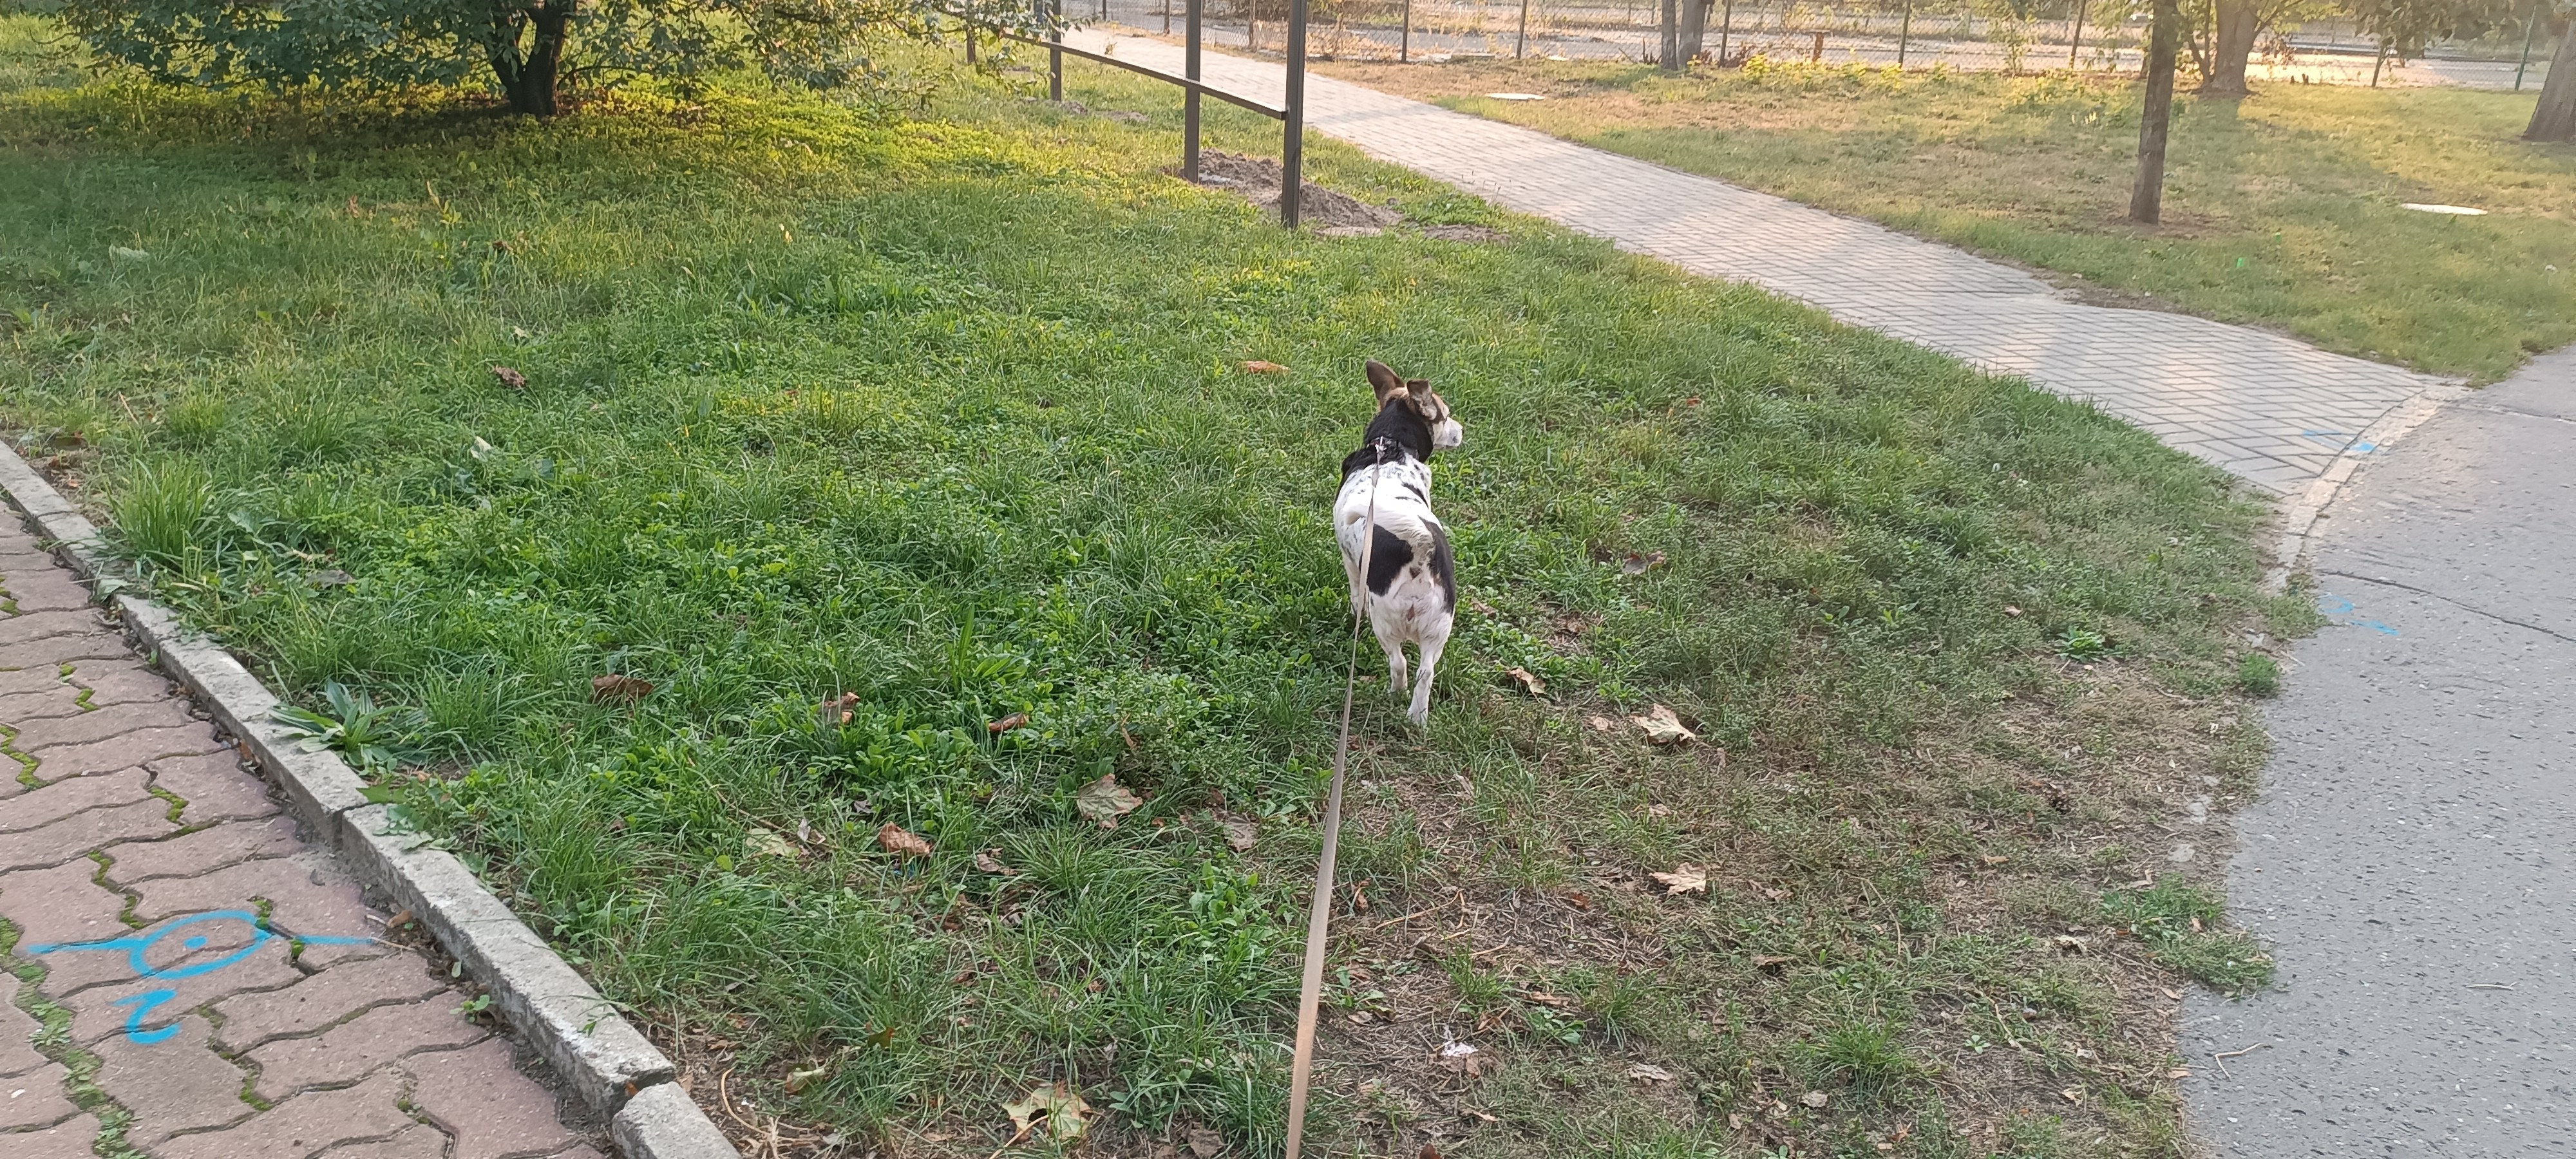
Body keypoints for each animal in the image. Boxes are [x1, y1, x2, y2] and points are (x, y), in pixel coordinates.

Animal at [1336, 360, 1464, 727]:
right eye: (1446, 416)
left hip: (1386, 625)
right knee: (1425, 673)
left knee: (1399, 663)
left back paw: (1395, 695)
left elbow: (1355, 597)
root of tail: (1420, 549)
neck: (1390, 447)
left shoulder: (1352, 565)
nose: (1462, 430)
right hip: (1439, 629)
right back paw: (1417, 718)